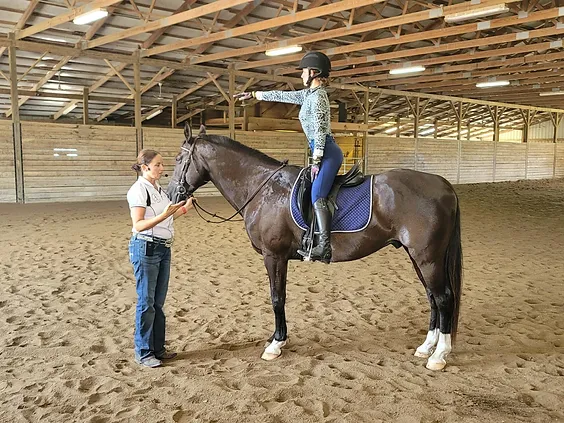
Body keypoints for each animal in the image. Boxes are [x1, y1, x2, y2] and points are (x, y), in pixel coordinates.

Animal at [167, 125, 462, 372]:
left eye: (180, 160)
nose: (171, 194)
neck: (264, 189)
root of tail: (443, 185)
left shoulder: (274, 256)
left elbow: (277, 298)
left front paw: (275, 344)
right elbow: (280, 297)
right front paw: (277, 339)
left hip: (428, 258)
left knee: (444, 298)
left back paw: (439, 355)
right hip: (418, 257)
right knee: (432, 297)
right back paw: (426, 347)